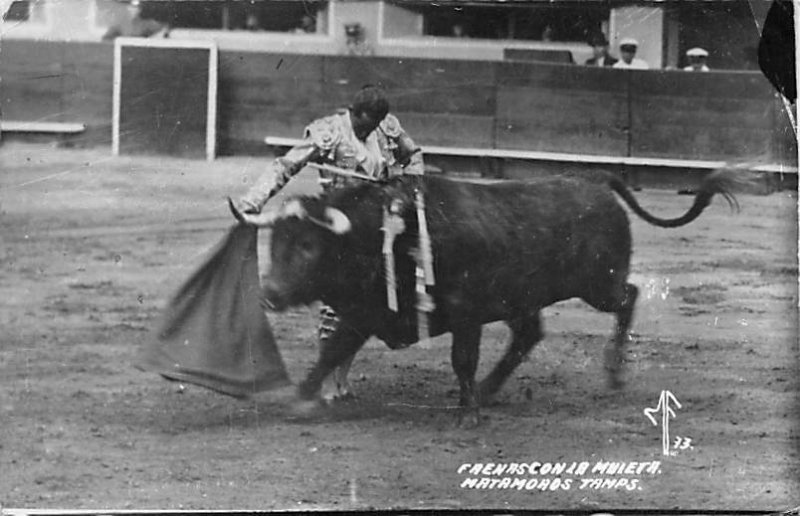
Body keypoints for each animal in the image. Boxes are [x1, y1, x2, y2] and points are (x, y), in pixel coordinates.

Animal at [230, 171, 736, 426]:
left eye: (308, 246)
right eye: (275, 243)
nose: (270, 295)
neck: (389, 234)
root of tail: (596, 183)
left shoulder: (466, 313)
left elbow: (462, 359)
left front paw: (467, 412)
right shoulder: (362, 312)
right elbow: (330, 352)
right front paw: (299, 398)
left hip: (598, 285)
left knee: (628, 296)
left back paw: (612, 373)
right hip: (527, 298)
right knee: (529, 335)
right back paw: (493, 389)